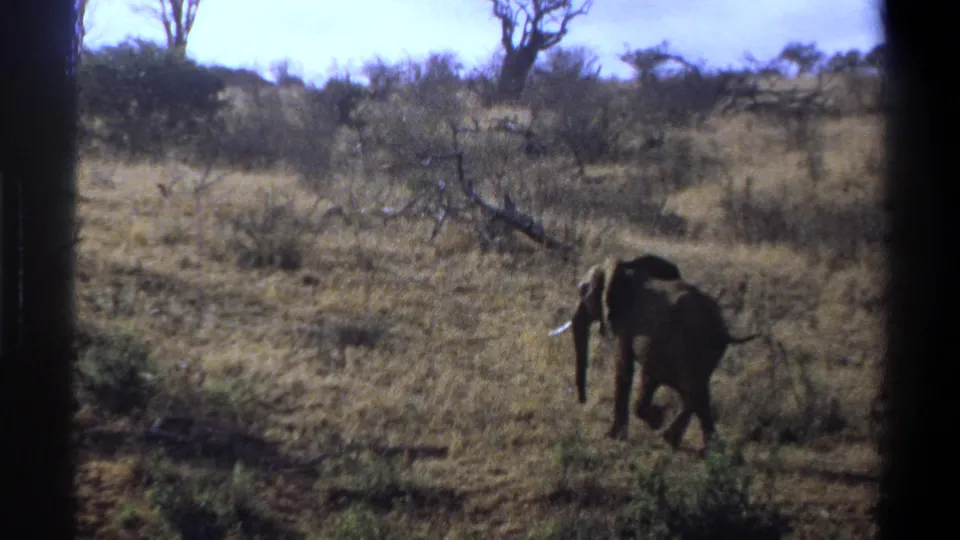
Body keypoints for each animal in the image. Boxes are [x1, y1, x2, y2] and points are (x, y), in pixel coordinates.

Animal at [550, 254, 760, 451]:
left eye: (582, 291)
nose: (582, 401)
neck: (625, 267)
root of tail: (723, 331)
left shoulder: (627, 322)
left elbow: (624, 367)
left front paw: (614, 436)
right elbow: (646, 374)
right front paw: (654, 418)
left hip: (690, 348)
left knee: (692, 392)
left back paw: (671, 438)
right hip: (704, 353)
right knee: (696, 392)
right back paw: (704, 448)